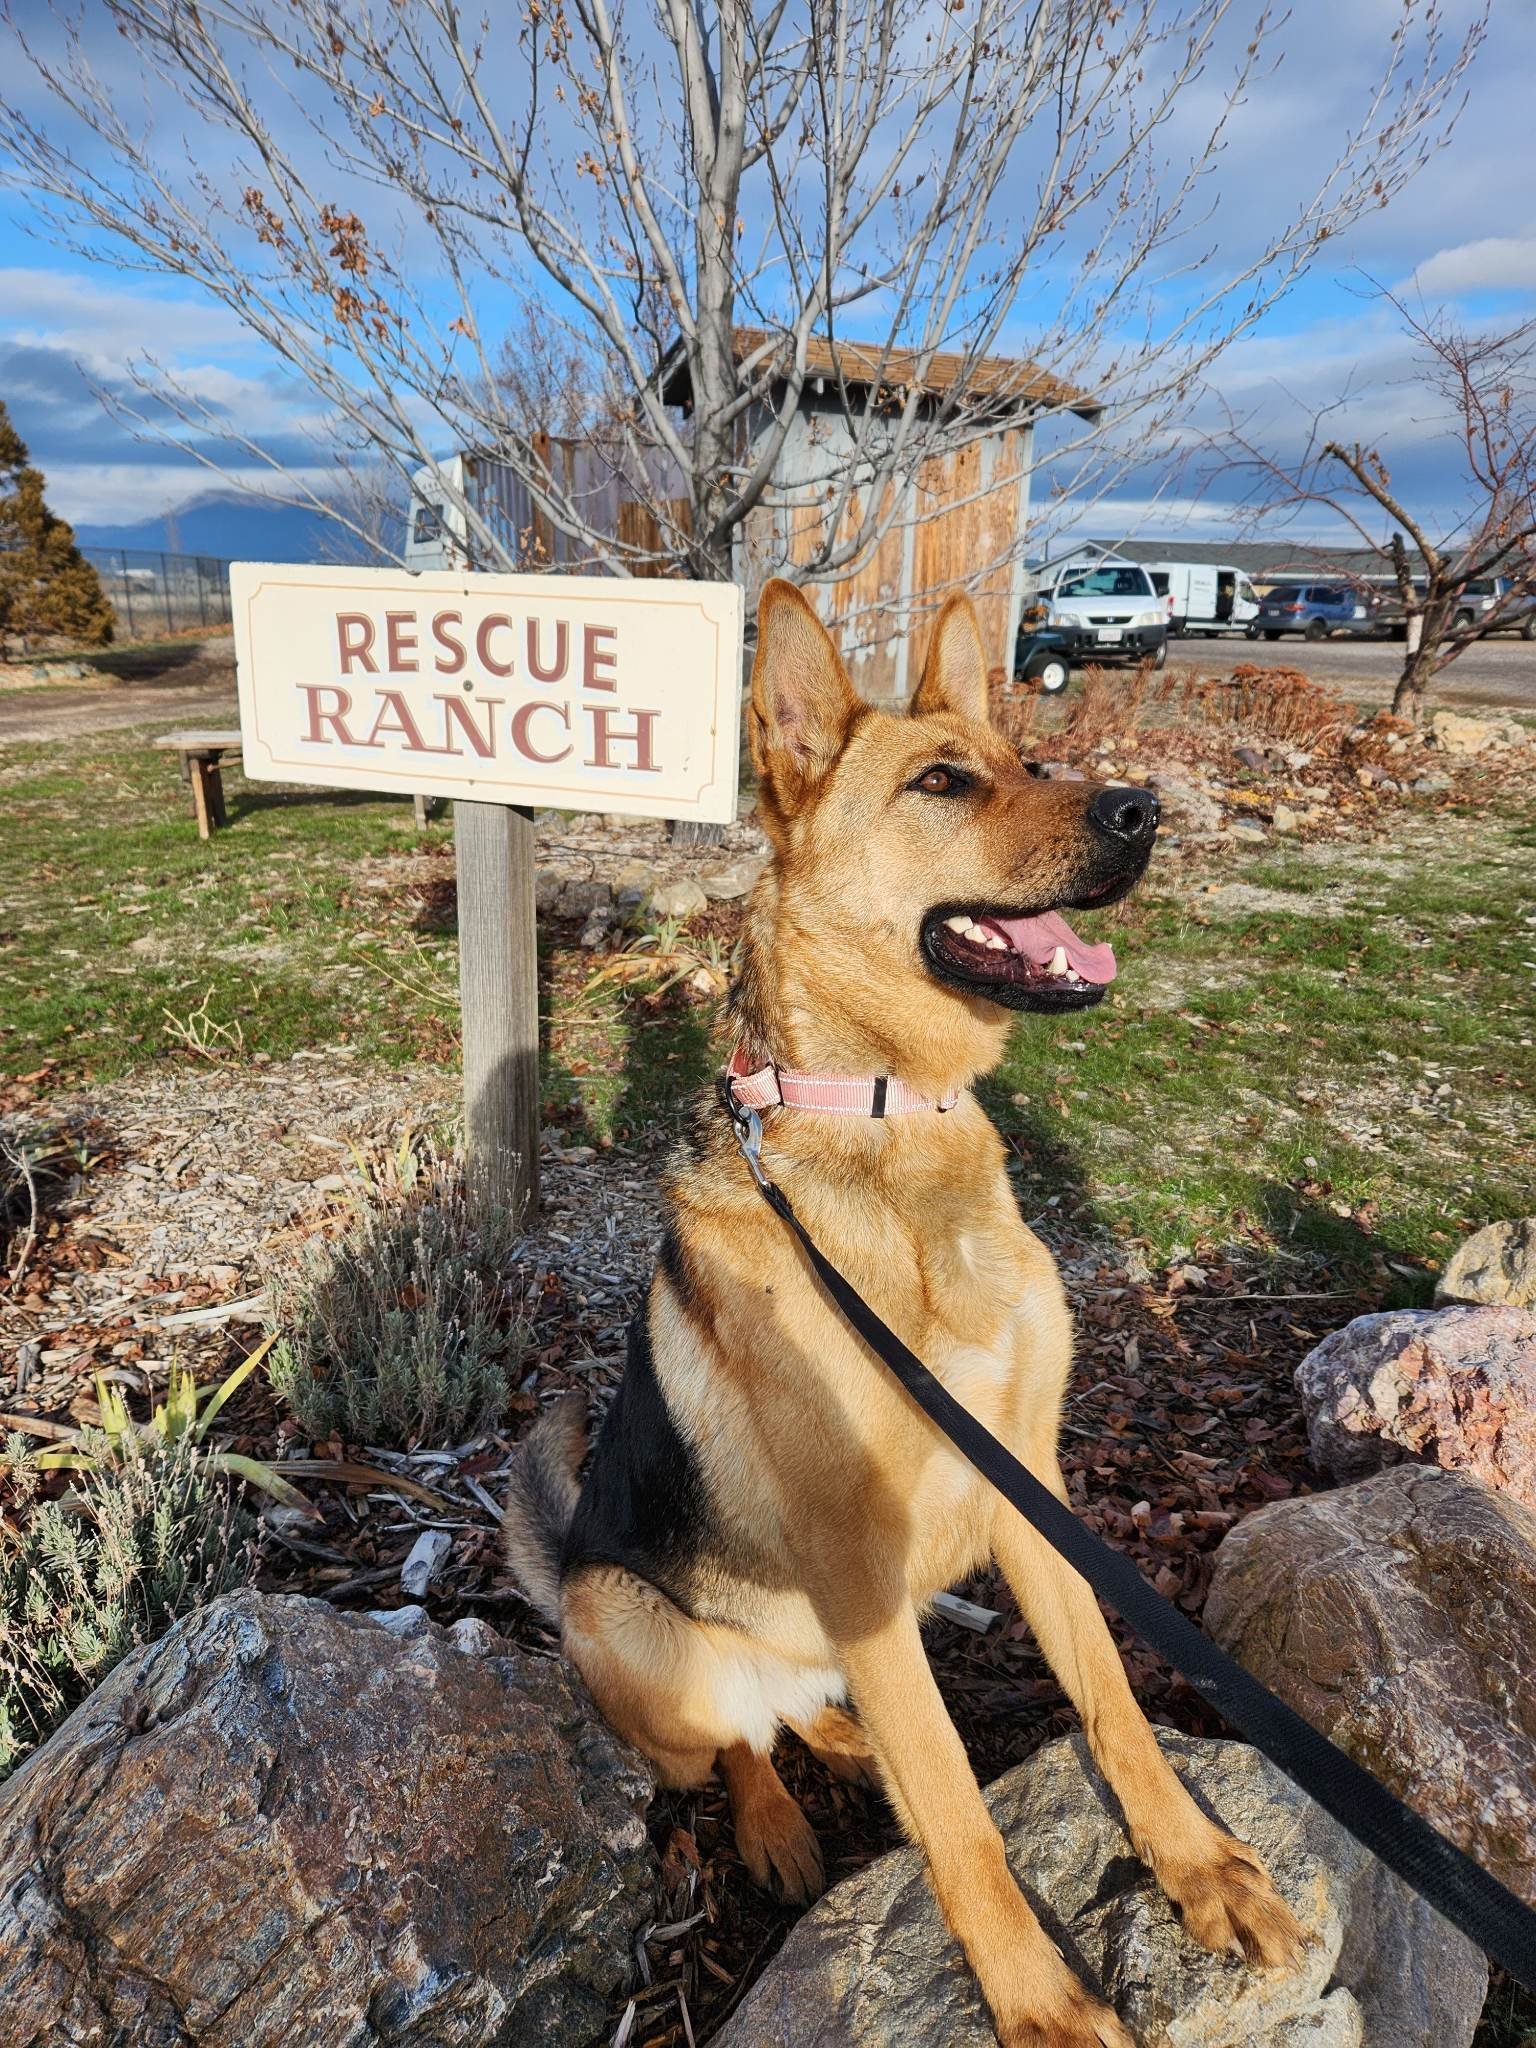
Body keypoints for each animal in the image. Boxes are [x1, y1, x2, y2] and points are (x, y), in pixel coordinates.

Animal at [512, 581, 1302, 2048]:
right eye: (942, 782)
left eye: (1032, 761)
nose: (1142, 811)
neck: (884, 1119)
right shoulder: (858, 1555)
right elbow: (950, 1808)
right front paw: (1037, 2001)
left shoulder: (1032, 1491)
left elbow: (1111, 1703)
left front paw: (1198, 1869)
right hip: (624, 1618)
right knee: (730, 1747)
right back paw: (778, 1814)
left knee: (811, 1709)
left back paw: (837, 1736)